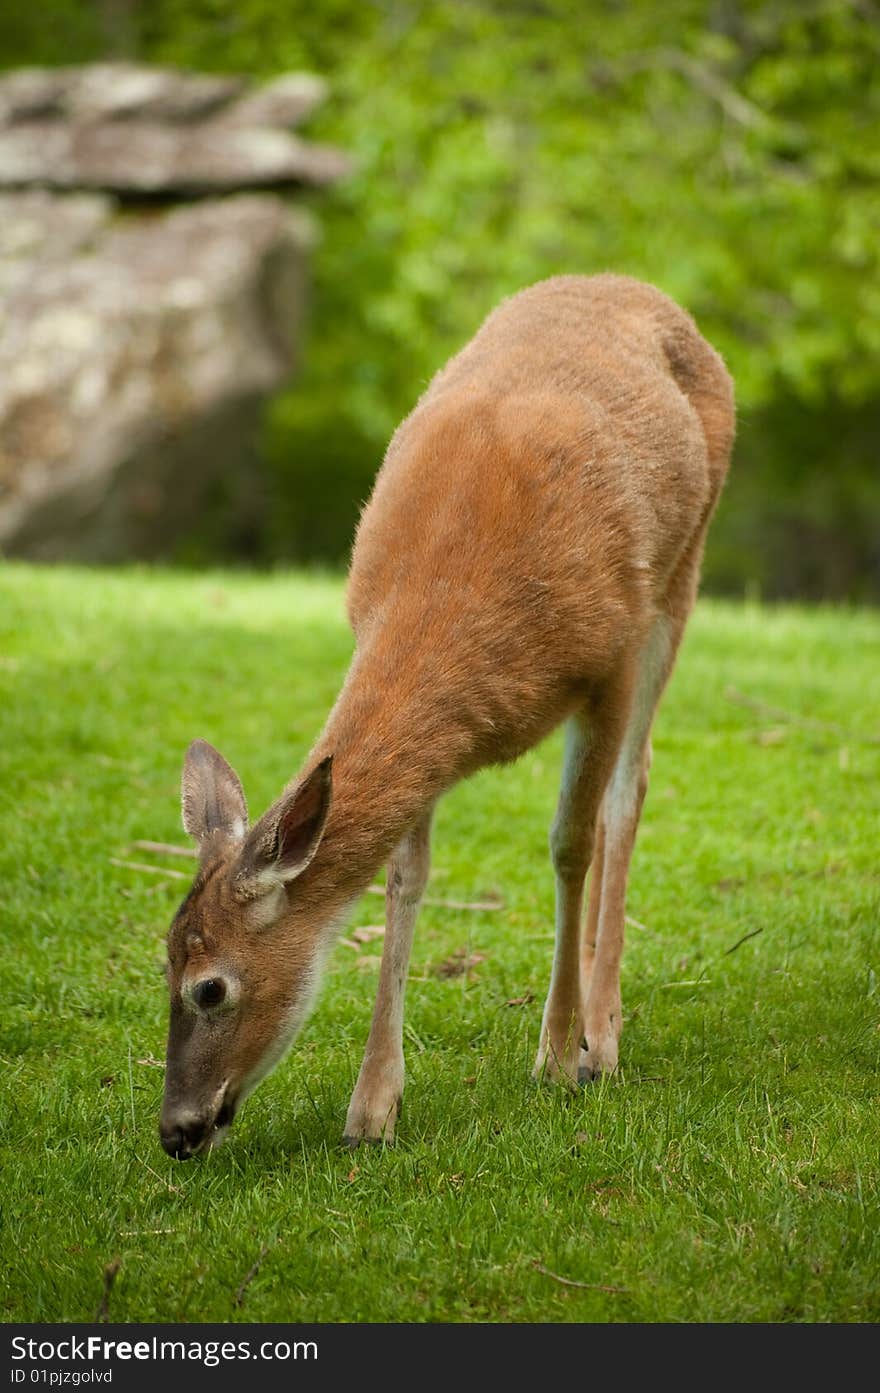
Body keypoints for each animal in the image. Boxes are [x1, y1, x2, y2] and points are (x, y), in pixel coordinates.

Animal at [160, 268, 735, 1153]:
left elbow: (571, 841)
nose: (175, 1129)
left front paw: (556, 1054)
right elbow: (406, 873)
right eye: (164, 961)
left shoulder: (607, 657)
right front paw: (372, 1106)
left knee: (628, 789)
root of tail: (637, 286)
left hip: (680, 574)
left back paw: (600, 1035)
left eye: (210, 986)